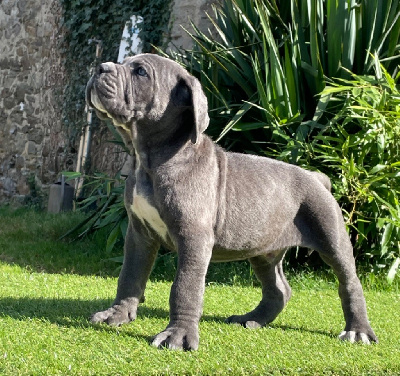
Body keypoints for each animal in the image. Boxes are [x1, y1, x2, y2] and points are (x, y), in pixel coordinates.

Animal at [86, 53, 376, 350]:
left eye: (141, 72)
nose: (100, 68)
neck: (150, 157)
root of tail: (316, 177)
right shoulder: (139, 233)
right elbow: (130, 274)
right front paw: (116, 314)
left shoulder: (194, 238)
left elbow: (185, 286)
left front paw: (178, 334)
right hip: (264, 250)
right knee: (279, 289)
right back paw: (252, 319)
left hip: (331, 237)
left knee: (349, 282)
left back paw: (358, 331)